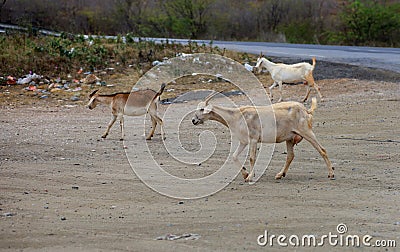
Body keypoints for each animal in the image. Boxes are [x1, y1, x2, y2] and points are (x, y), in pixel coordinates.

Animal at [191, 93, 334, 182]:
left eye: (202, 109)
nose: (193, 120)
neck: (236, 116)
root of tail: (306, 110)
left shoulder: (253, 139)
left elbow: (252, 158)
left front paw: (250, 177)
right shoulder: (244, 142)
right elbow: (234, 156)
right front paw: (245, 174)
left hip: (306, 131)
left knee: (322, 150)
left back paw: (331, 174)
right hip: (290, 138)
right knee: (290, 156)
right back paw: (279, 175)